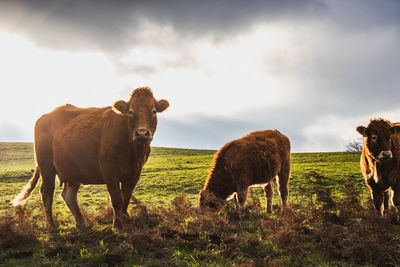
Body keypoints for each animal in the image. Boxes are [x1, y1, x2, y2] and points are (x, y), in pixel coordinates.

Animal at [12, 87, 169, 229]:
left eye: (153, 111)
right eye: (131, 112)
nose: (142, 133)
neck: (134, 152)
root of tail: (47, 115)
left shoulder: (135, 173)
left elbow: (126, 199)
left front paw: (125, 220)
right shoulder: (110, 172)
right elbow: (117, 200)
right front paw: (117, 225)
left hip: (73, 170)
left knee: (68, 195)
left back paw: (82, 223)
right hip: (47, 167)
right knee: (47, 193)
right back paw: (51, 226)